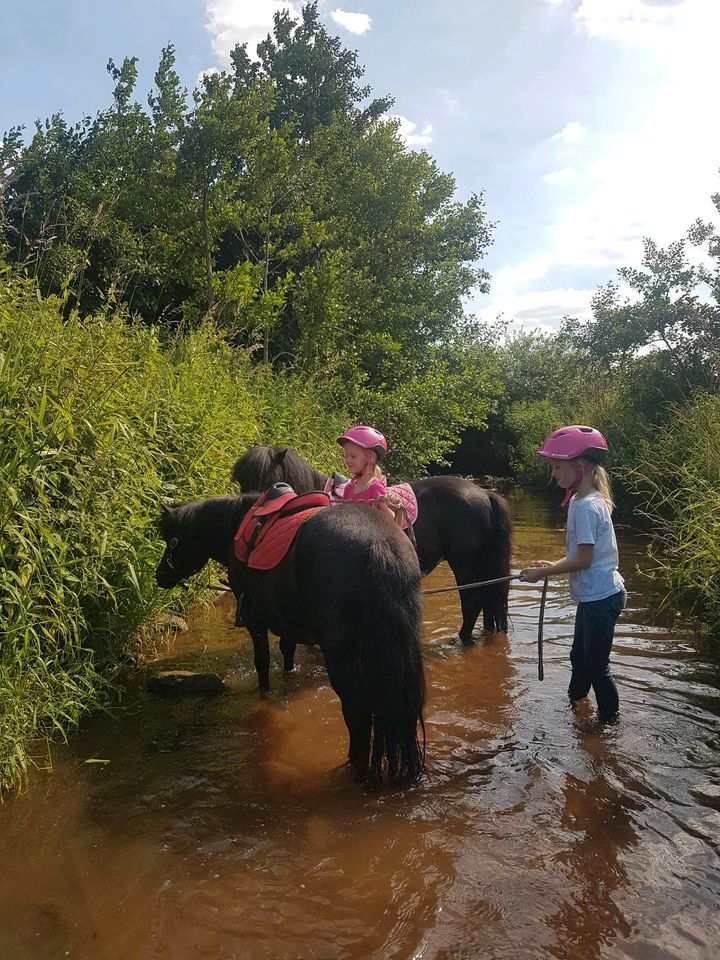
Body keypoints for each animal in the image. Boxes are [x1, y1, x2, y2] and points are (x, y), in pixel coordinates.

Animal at [156, 492, 428, 784]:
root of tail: (379, 543)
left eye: (172, 540)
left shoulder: (254, 619)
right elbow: (287, 652)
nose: (160, 576)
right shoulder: (289, 623)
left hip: (341, 654)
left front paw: (263, 692)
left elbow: (262, 661)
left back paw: (355, 767)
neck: (237, 526)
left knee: (356, 709)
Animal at [231, 444, 512, 640]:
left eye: (266, 478)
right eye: (241, 480)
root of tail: (485, 494)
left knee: (472, 603)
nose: (247, 515)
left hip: (466, 564)